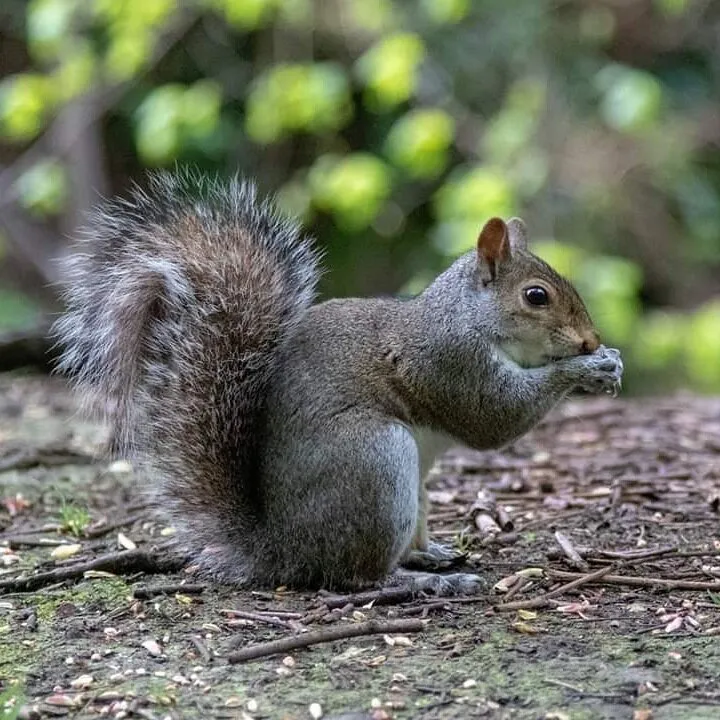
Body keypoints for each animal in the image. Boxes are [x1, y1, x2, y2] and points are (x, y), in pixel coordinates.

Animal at [53, 170, 623, 595]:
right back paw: (424, 582)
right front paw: (586, 370)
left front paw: (608, 361)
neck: (466, 316)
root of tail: (283, 550)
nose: (591, 340)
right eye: (536, 296)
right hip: (375, 462)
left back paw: (432, 556)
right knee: (357, 576)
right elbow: (494, 419)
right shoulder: (450, 362)